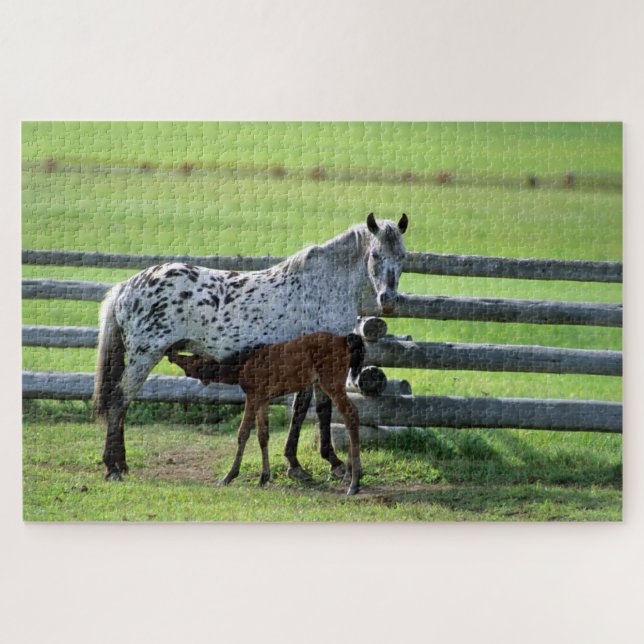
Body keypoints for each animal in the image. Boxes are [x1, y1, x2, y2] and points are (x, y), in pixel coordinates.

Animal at [167, 332, 365, 494]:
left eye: (191, 359)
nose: (170, 353)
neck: (241, 367)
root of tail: (345, 340)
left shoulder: (253, 395)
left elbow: (243, 433)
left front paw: (229, 476)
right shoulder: (263, 398)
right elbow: (263, 435)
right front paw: (263, 477)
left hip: (331, 382)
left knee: (351, 414)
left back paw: (353, 481)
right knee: (351, 415)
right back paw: (351, 475)